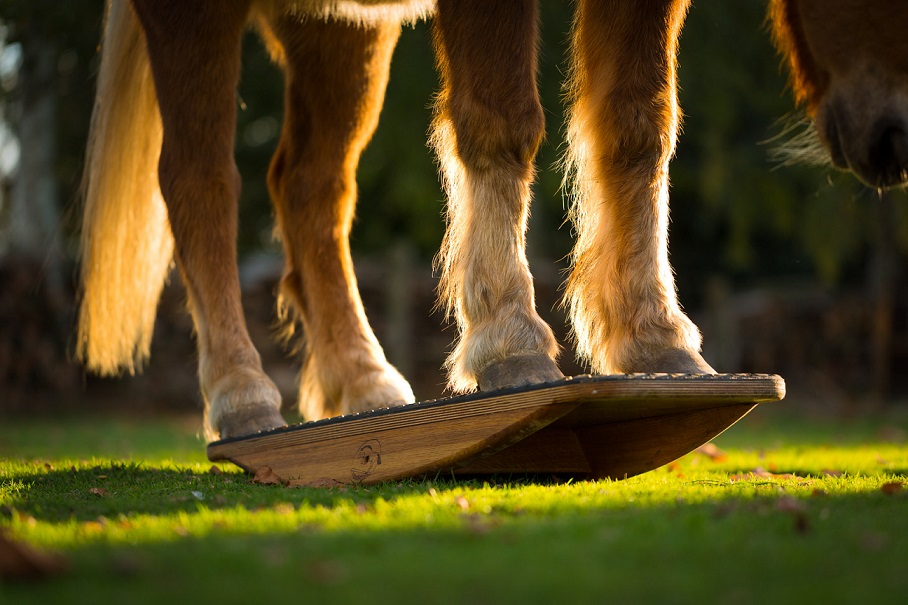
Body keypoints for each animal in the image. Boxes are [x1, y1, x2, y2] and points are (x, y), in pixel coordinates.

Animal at [77, 0, 908, 441]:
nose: (895, 139)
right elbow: (502, 122)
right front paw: (510, 341)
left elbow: (639, 127)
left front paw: (655, 338)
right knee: (200, 178)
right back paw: (241, 395)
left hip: (337, 29)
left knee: (311, 188)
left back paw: (364, 380)